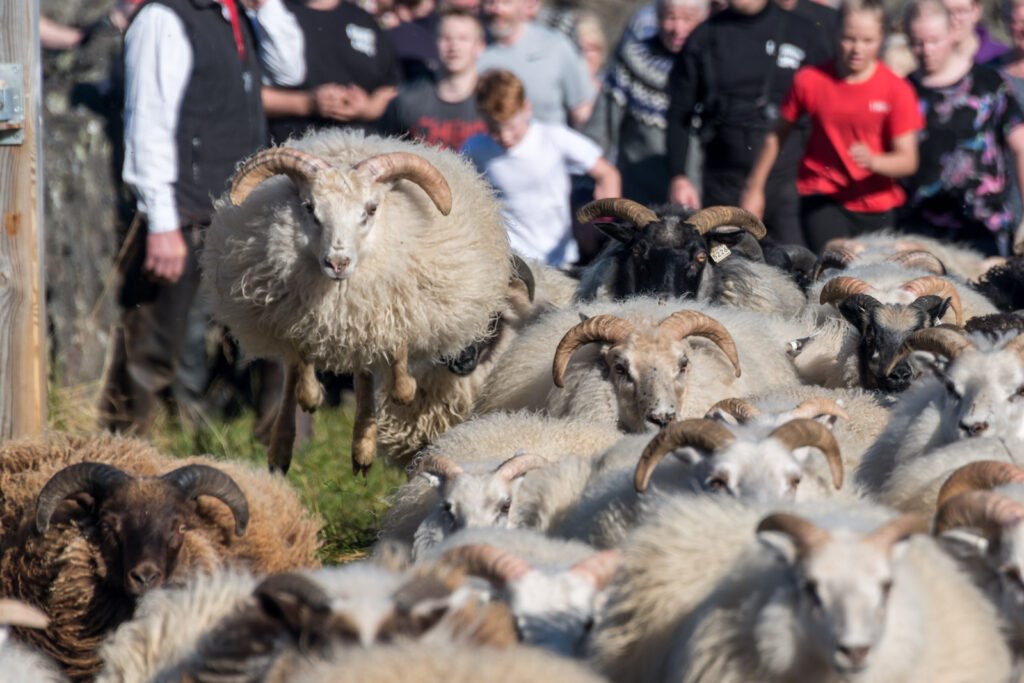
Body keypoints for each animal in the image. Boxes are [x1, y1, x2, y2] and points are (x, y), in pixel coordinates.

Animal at [201, 129, 513, 474]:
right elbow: (301, 359)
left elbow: (399, 362)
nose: (337, 262)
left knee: (364, 371)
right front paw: (311, 396)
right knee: (295, 373)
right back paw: (283, 448)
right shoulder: (295, 311)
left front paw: (402, 392)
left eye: (371, 209)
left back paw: (362, 450)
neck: (340, 295)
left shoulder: (397, 304)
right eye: (309, 207)